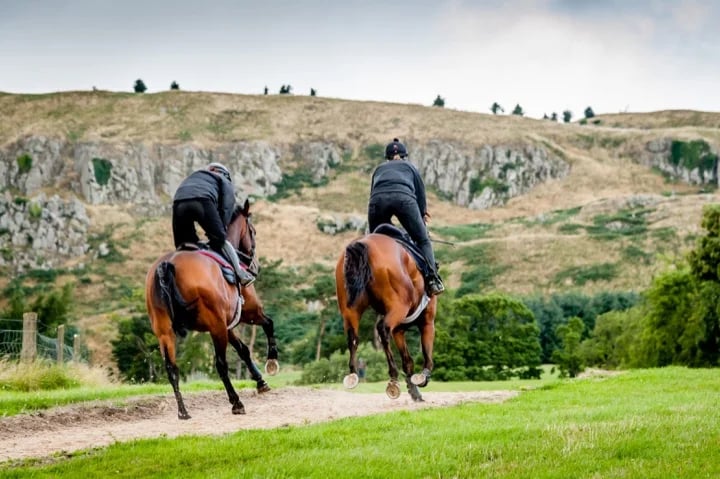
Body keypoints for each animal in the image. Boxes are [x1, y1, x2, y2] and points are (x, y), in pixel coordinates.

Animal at [145, 199, 278, 419]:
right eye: (253, 231)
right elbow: (269, 324)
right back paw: (236, 402)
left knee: (172, 369)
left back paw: (183, 411)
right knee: (221, 365)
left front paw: (260, 381)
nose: (254, 264)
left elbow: (243, 350)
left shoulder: (227, 325)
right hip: (216, 327)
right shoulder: (249, 314)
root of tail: (167, 265)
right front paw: (272, 362)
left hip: (165, 331)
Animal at [335, 227, 438, 402]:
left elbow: (407, 361)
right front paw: (423, 377)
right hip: (399, 306)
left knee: (353, 337)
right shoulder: (427, 322)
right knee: (382, 328)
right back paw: (393, 377)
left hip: (350, 309)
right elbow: (427, 353)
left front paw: (414, 391)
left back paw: (353, 375)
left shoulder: (399, 330)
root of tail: (362, 244)